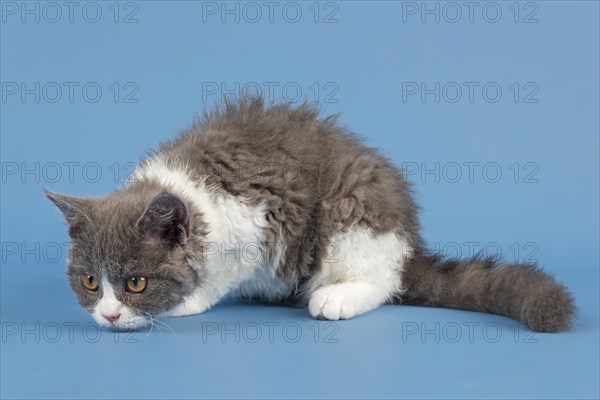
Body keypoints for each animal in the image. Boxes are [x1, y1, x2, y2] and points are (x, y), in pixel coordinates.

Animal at [45, 97, 572, 332]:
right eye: (90, 281)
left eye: (136, 283)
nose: (109, 314)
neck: (185, 186)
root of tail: (407, 240)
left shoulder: (260, 220)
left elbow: (221, 273)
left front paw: (188, 301)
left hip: (352, 211)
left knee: (383, 281)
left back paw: (336, 296)